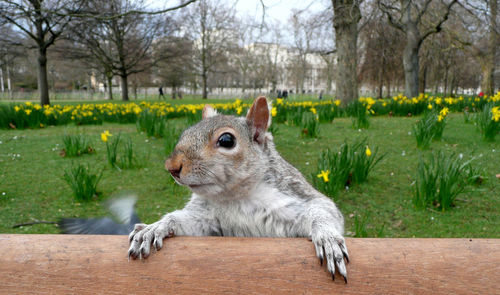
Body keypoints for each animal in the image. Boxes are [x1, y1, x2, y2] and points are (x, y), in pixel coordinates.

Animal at [128, 96, 348, 282]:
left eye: (226, 140)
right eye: (185, 133)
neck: (236, 196)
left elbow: (324, 210)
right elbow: (184, 220)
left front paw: (327, 238)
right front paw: (155, 227)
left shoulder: (294, 197)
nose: (171, 167)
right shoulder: (208, 219)